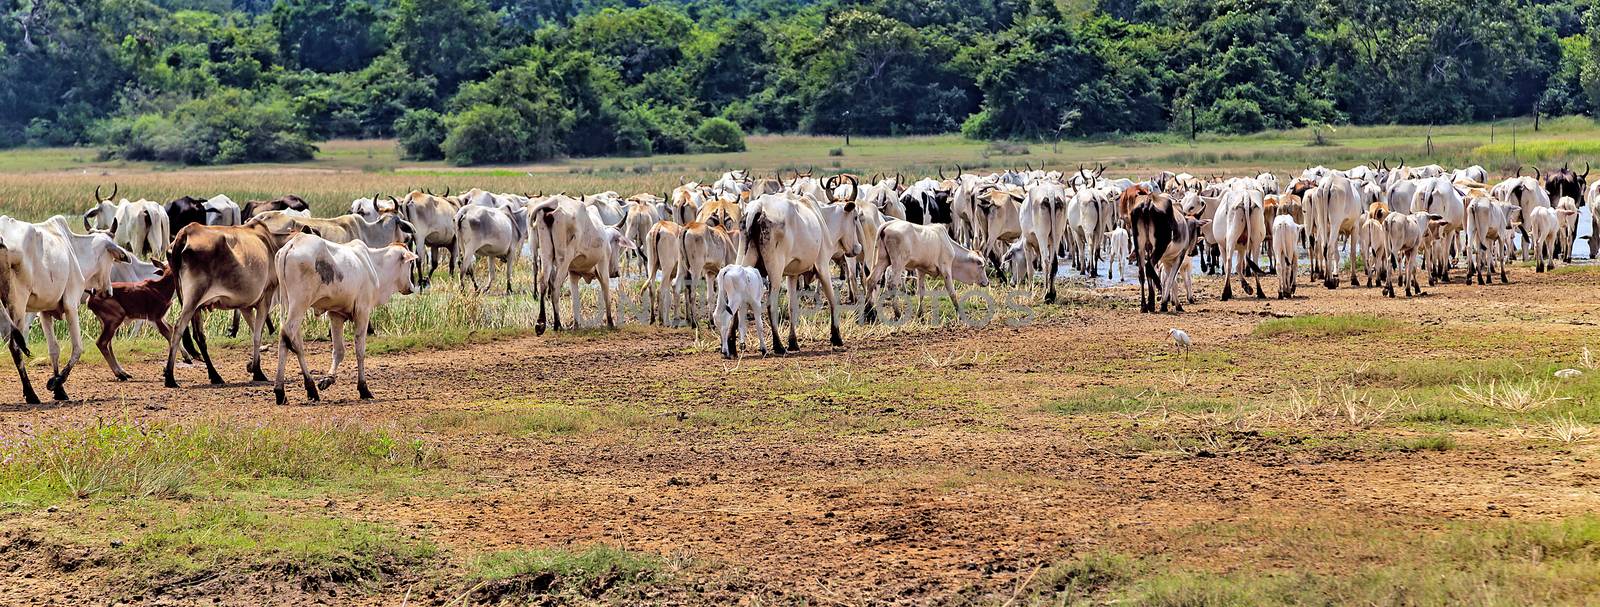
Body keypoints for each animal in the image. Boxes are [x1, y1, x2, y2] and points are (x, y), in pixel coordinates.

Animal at [163, 219, 300, 389]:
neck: (272, 244)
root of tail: (186, 231)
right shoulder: (266, 296)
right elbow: (257, 335)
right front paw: (257, 371)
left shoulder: (245, 305)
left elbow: (254, 331)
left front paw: (252, 366)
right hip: (193, 299)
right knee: (178, 329)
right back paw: (170, 378)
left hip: (195, 305)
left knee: (199, 337)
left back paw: (214, 376)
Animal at [739, 194, 864, 353]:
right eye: (855, 217)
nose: (858, 247)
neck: (821, 218)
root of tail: (759, 206)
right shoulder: (823, 265)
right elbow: (832, 300)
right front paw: (836, 337)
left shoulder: (792, 275)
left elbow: (792, 307)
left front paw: (793, 342)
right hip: (775, 271)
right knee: (770, 305)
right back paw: (778, 345)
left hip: (743, 262)